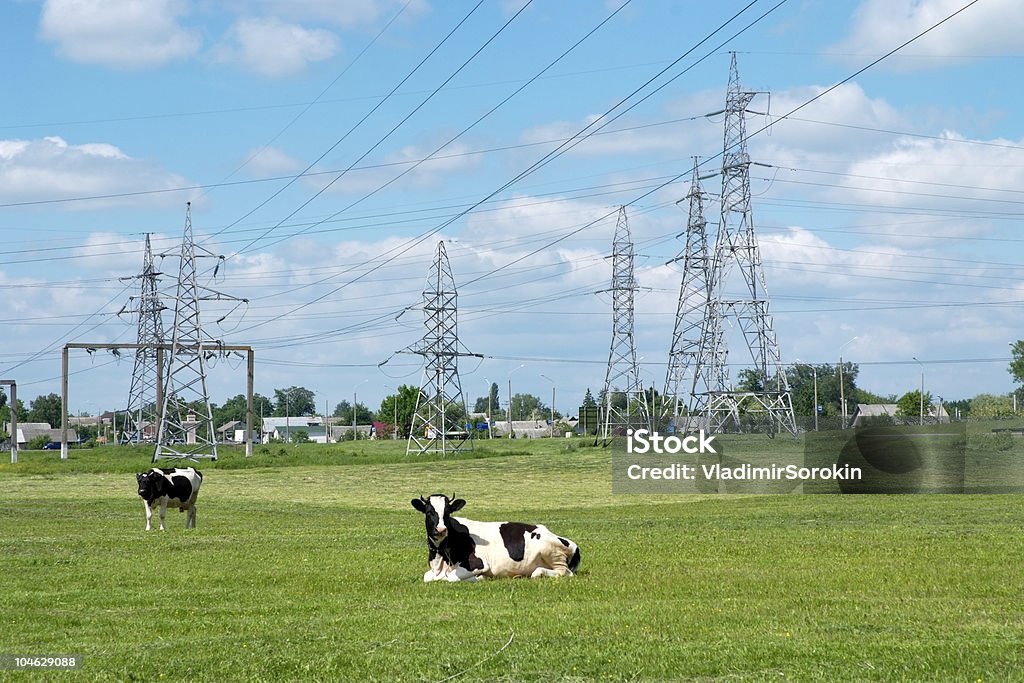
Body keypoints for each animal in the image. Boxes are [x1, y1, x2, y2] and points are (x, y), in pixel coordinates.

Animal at [409, 493, 585, 585]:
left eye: (447, 512)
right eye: (429, 512)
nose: (440, 529)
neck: (441, 558)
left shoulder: (478, 563)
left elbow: (450, 577)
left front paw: (478, 578)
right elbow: (427, 577)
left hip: (551, 552)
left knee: (561, 572)